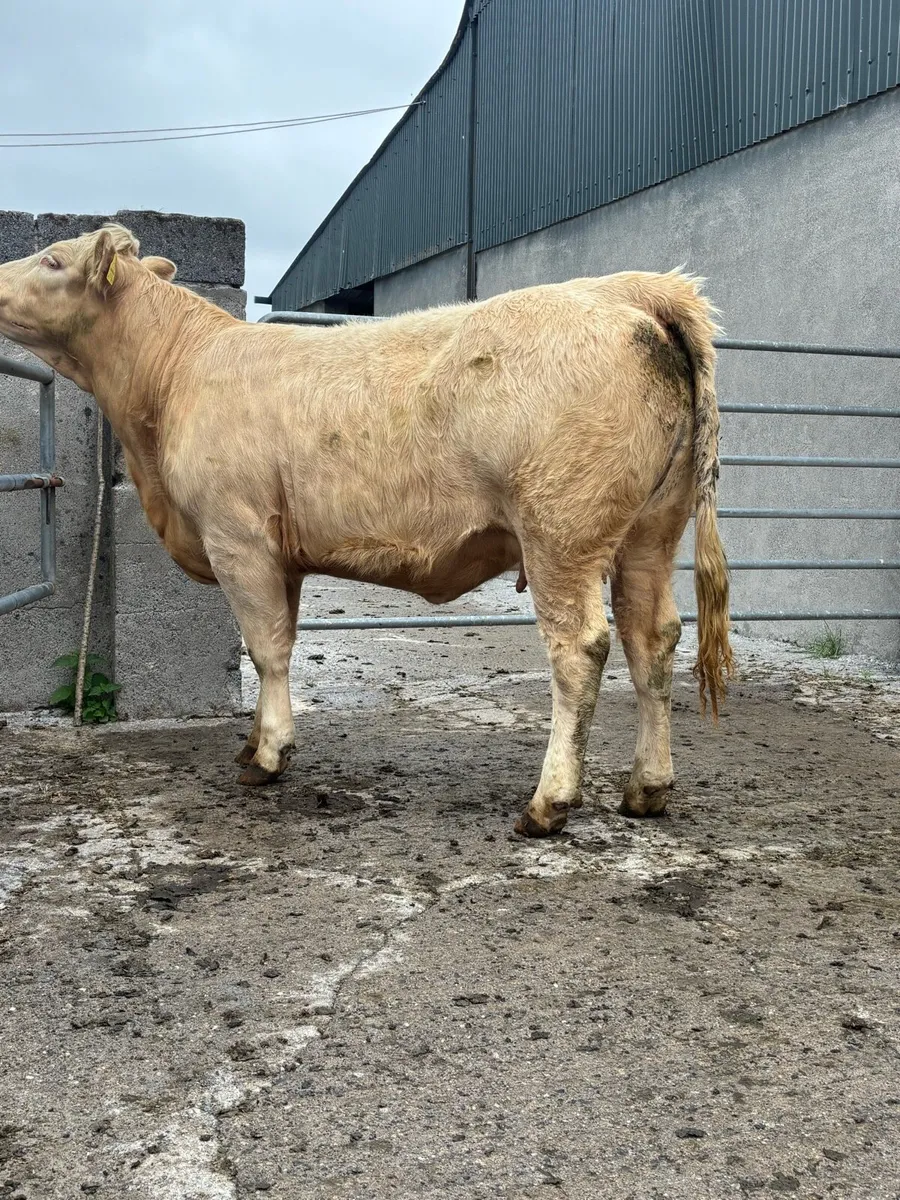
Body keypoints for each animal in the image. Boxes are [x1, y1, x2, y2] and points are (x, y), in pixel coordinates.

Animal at [0, 224, 734, 836]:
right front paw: (254, 739)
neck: (174, 372)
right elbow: (280, 641)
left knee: (580, 649)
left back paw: (548, 803)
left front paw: (269, 755)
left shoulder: (237, 535)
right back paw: (647, 788)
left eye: (52, 260)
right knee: (652, 640)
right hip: (649, 534)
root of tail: (628, 288)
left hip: (561, 532)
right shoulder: (283, 552)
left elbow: (265, 647)